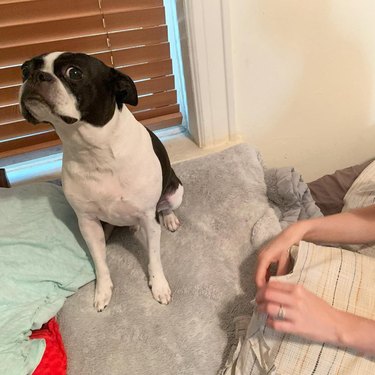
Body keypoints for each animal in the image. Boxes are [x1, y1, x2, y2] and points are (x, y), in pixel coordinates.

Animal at [19, 52, 184, 312]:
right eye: (24, 70)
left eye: (74, 72)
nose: (35, 76)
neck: (93, 148)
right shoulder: (87, 222)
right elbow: (100, 261)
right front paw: (103, 291)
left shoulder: (149, 218)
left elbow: (154, 257)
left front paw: (159, 286)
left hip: (176, 193)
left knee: (165, 206)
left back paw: (169, 218)